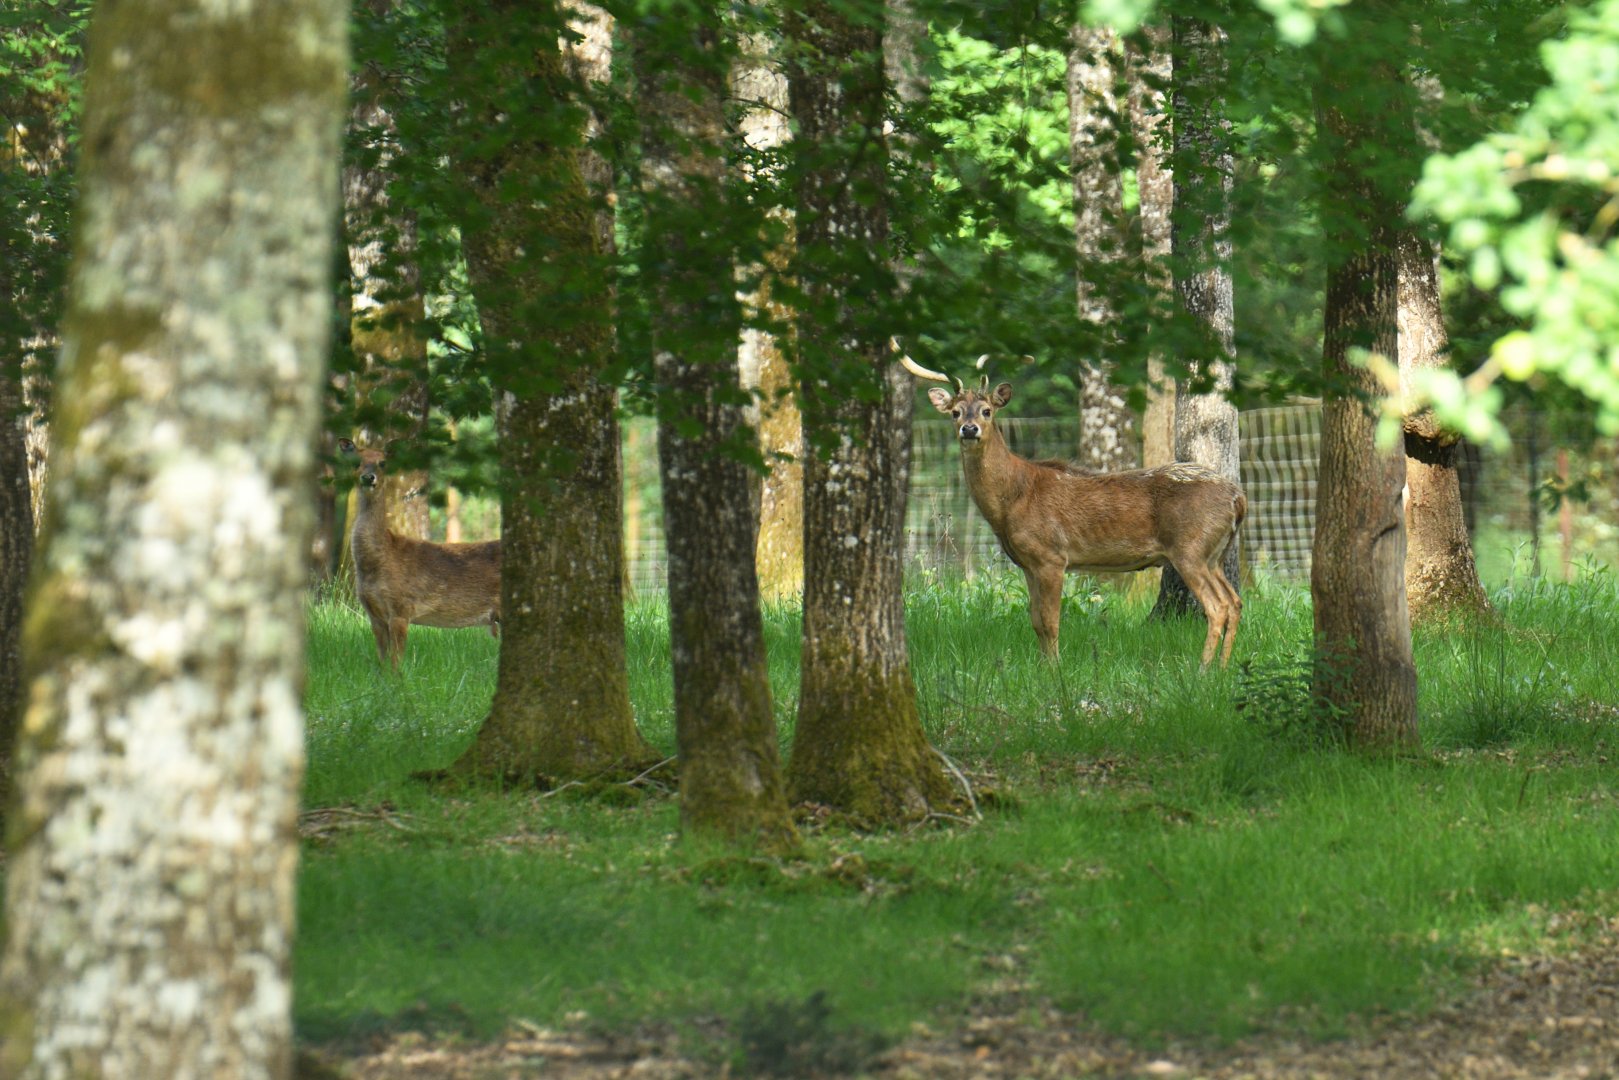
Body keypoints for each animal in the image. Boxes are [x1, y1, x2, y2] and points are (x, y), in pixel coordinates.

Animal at [338, 438, 502, 669]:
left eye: (383, 463)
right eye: (356, 461)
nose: (369, 477)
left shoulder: (401, 607)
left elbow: (396, 661)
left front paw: (398, 678)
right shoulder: (373, 614)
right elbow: (382, 660)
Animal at [899, 350, 1246, 668]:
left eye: (987, 411)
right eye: (955, 412)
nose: (969, 429)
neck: (1012, 499)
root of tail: (1239, 498)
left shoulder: (1052, 555)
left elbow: (1051, 621)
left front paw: (1055, 669)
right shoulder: (1027, 563)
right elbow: (1035, 621)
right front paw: (1042, 667)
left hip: (1190, 547)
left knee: (1217, 606)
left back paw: (1203, 669)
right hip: (1213, 553)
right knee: (1235, 602)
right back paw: (1222, 666)